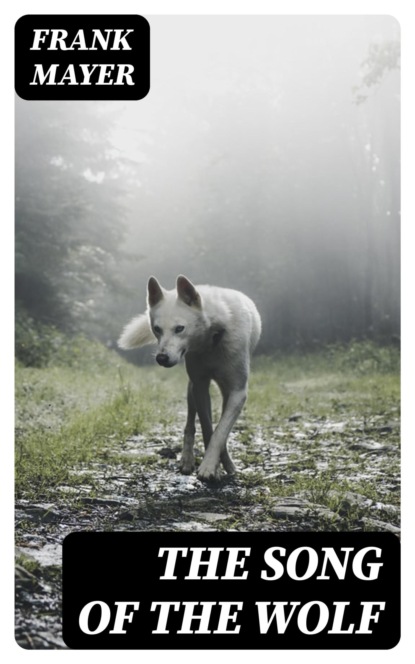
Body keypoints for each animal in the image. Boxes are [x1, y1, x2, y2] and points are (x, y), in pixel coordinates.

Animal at [118, 275, 261, 482]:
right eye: (157, 329)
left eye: (180, 328)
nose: (161, 358)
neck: (212, 339)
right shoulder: (200, 387)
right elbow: (208, 429)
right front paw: (214, 466)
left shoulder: (238, 392)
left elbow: (220, 432)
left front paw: (213, 465)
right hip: (191, 389)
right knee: (189, 425)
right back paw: (187, 459)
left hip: (223, 391)